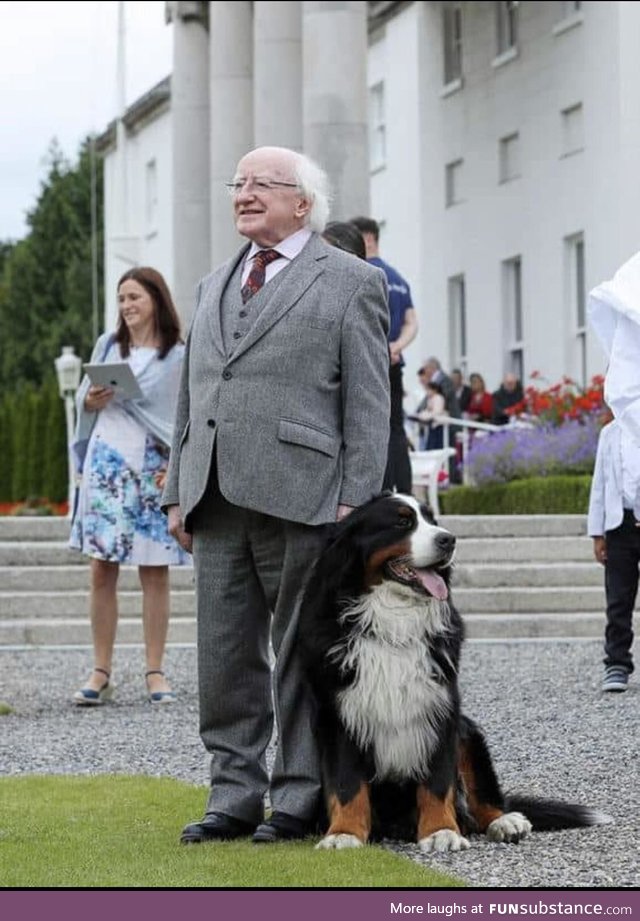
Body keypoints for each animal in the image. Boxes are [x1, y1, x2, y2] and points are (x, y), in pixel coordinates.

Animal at [298, 492, 608, 852]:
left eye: (433, 520)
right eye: (402, 522)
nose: (449, 539)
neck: (393, 623)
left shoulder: (441, 707)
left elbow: (438, 779)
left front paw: (440, 831)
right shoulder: (338, 713)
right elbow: (347, 784)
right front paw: (344, 833)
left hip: (469, 733)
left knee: (482, 800)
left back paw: (505, 822)